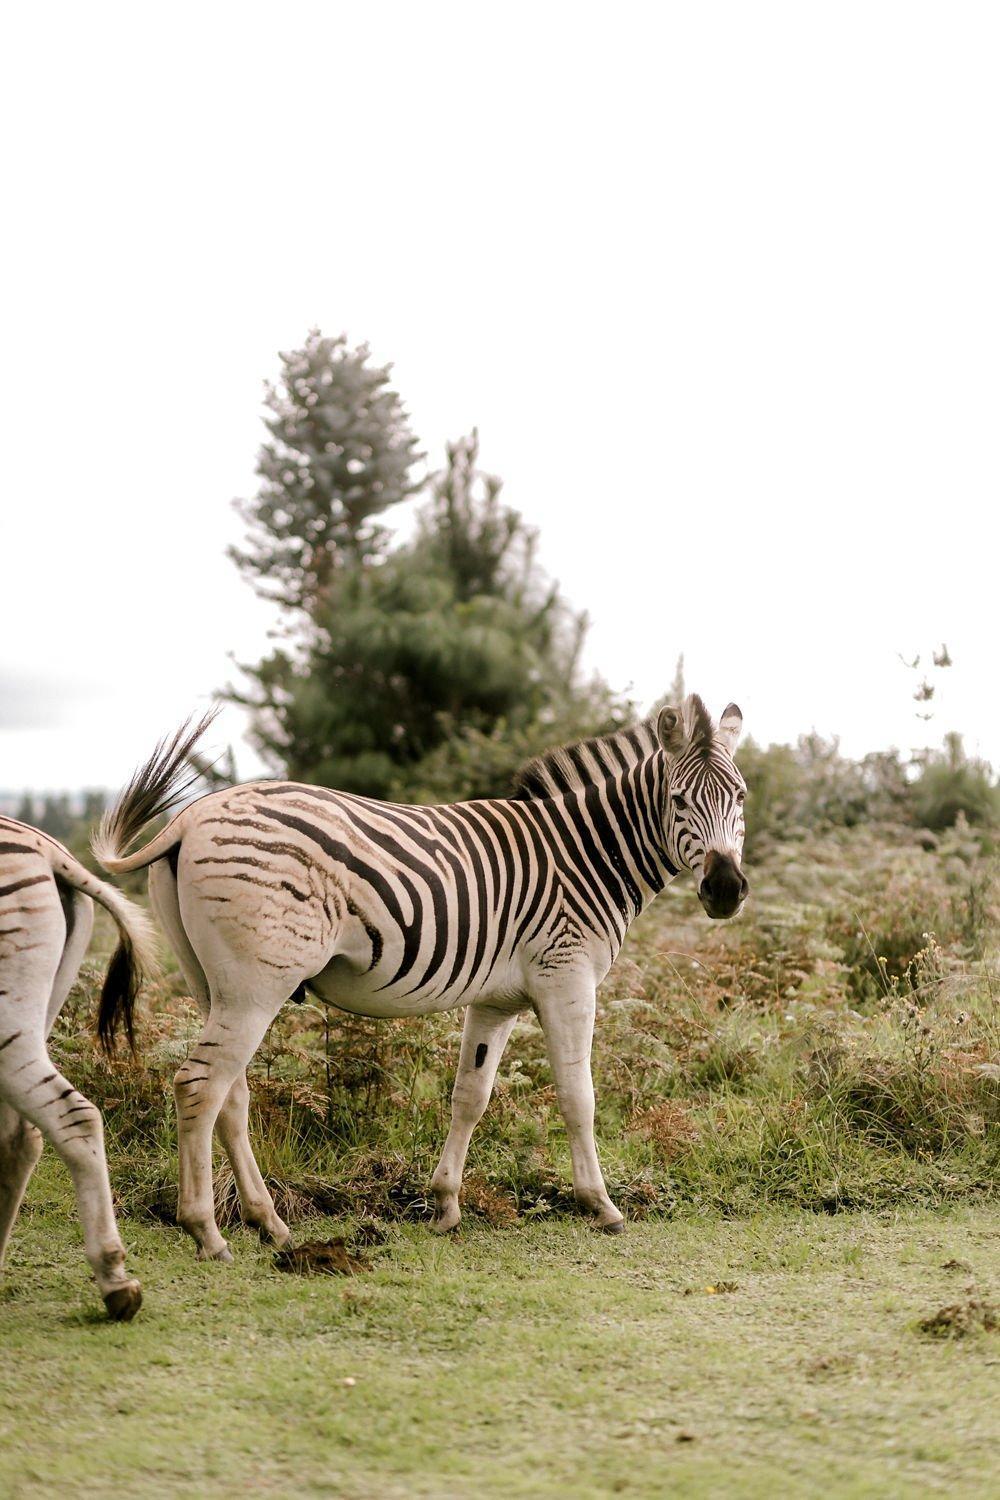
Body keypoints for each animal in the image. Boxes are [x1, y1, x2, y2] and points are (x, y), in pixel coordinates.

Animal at [95, 696, 749, 1260]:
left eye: (741, 797)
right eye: (679, 799)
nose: (726, 890)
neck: (584, 856)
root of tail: (191, 818)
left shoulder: (496, 1000)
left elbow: (470, 1096)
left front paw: (445, 1205)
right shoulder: (567, 977)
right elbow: (578, 1095)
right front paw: (602, 1206)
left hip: (212, 984)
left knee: (229, 1094)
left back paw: (270, 1223)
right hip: (257, 983)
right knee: (199, 1086)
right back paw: (206, 1233)